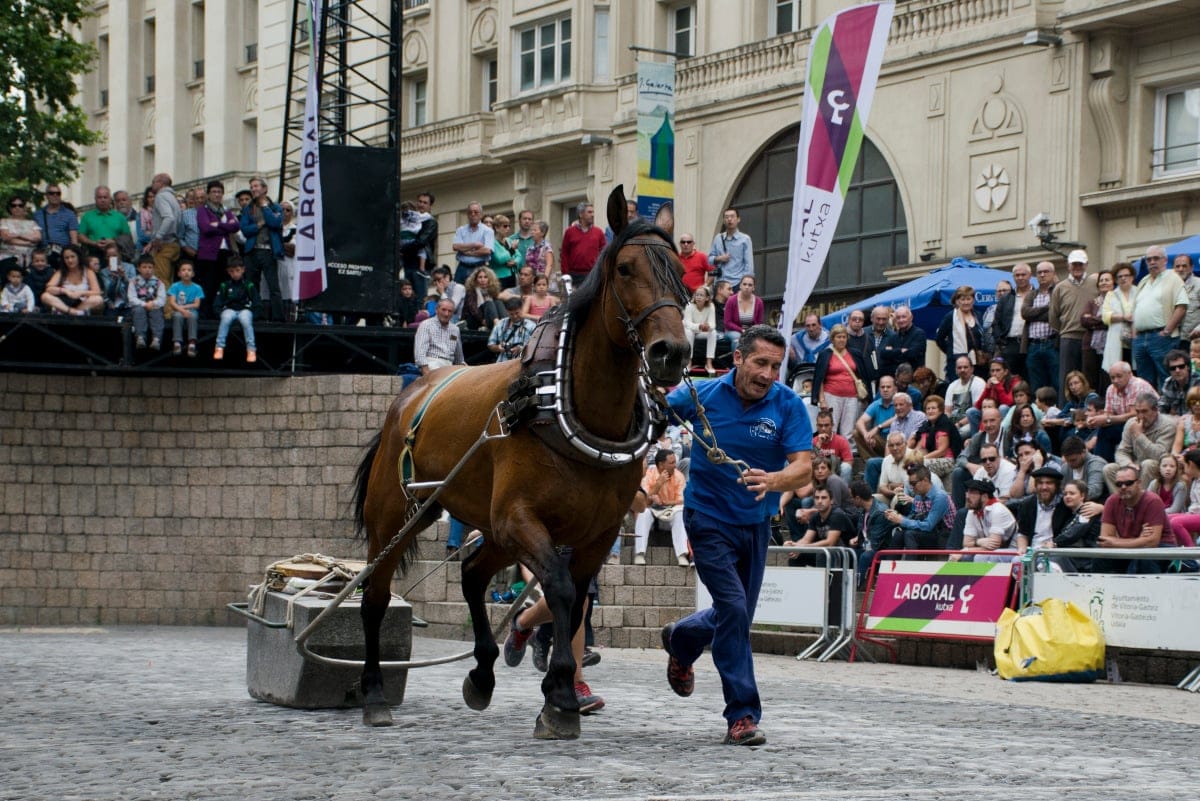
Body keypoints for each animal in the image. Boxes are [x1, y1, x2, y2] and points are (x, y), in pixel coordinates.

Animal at [350, 185, 686, 738]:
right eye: (625, 269)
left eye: (681, 271)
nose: (671, 353)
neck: (570, 407)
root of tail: (410, 393)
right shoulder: (520, 518)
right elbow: (560, 590)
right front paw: (560, 697)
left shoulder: (595, 533)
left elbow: (574, 599)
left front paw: (558, 690)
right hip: (397, 518)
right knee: (376, 595)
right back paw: (375, 691)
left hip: (488, 527)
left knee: (471, 573)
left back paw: (482, 672)